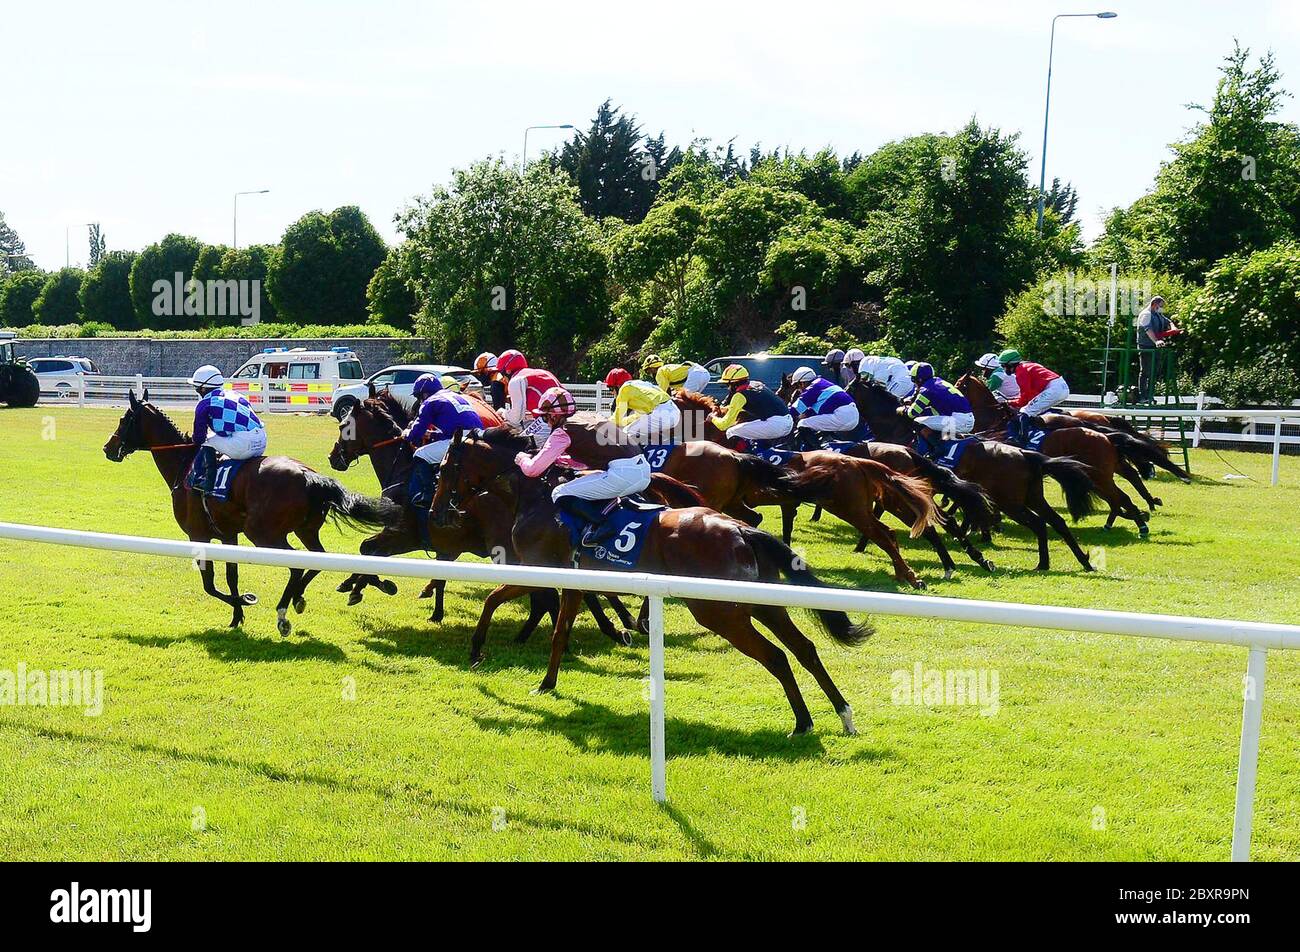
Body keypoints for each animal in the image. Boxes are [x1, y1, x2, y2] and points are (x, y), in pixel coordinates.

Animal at [102, 390, 400, 634]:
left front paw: (245, 601)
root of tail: (309, 476)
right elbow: (231, 576)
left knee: (295, 565)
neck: (184, 465)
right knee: (317, 559)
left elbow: (209, 584)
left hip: (263, 533)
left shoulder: (198, 536)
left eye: (123, 419)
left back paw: (283, 613)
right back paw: (298, 598)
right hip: (305, 530)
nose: (108, 448)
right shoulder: (228, 535)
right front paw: (237, 616)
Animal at [434, 429, 873, 738]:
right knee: (805, 648)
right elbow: (559, 634)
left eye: (444, 469)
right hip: (763, 603)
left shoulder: (538, 569)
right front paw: (548, 683)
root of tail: (740, 530)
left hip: (720, 613)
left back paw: (802, 722)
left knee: (777, 656)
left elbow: (492, 599)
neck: (538, 498)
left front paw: (477, 651)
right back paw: (843, 715)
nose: (440, 512)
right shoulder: (573, 582)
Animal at [847, 377, 1102, 572]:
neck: (898, 431)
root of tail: (1024, 453)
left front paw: (863, 545)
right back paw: (1080, 561)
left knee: (1039, 523)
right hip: (1032, 497)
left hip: (1010, 501)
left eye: (848, 388)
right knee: (1056, 522)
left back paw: (1044, 562)